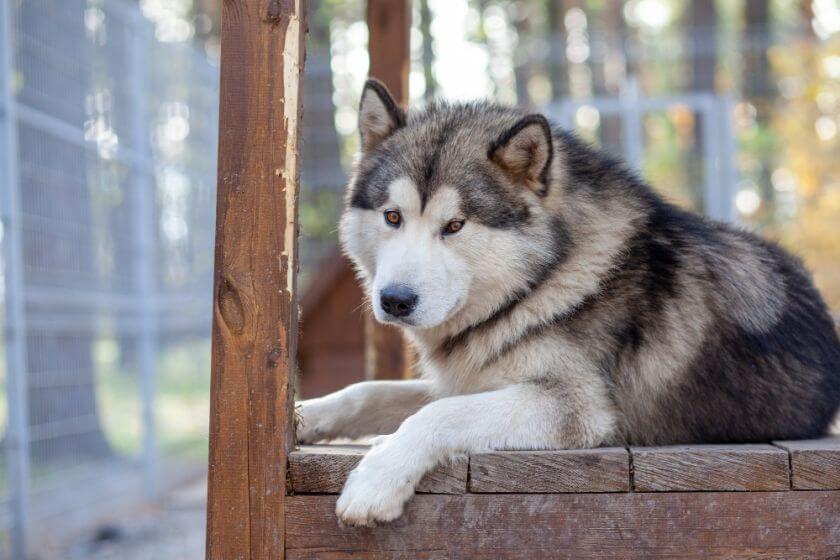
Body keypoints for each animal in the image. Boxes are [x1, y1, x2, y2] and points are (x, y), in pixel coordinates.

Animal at [296, 77, 840, 524]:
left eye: (454, 225)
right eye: (392, 217)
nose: (395, 301)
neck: (537, 284)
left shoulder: (574, 406)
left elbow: (437, 415)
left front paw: (374, 481)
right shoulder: (469, 380)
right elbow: (368, 391)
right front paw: (303, 415)